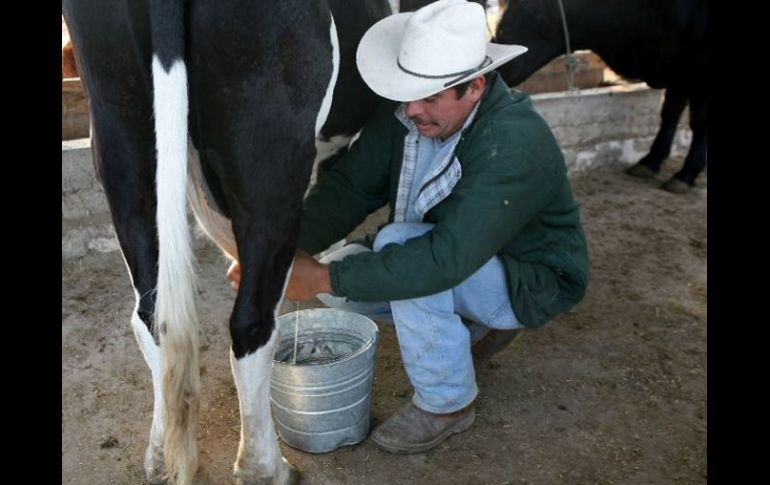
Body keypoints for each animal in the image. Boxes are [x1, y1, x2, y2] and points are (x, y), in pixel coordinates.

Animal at [59, 0, 388, 484]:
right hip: (269, 131)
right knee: (251, 323)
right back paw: (265, 467)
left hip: (118, 127)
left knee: (150, 315)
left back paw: (162, 456)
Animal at [496, 0, 704, 193]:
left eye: (536, 14)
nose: (501, 70)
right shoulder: (679, 69)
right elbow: (670, 112)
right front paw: (651, 161)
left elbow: (697, 121)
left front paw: (686, 174)